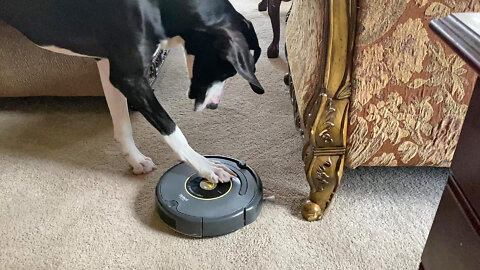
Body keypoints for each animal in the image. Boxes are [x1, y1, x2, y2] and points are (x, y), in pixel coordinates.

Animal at [0, 0, 262, 184]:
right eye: (228, 70)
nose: (214, 105)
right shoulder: (129, 78)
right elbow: (171, 128)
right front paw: (205, 166)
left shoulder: (110, 64)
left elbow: (122, 123)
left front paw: (135, 160)